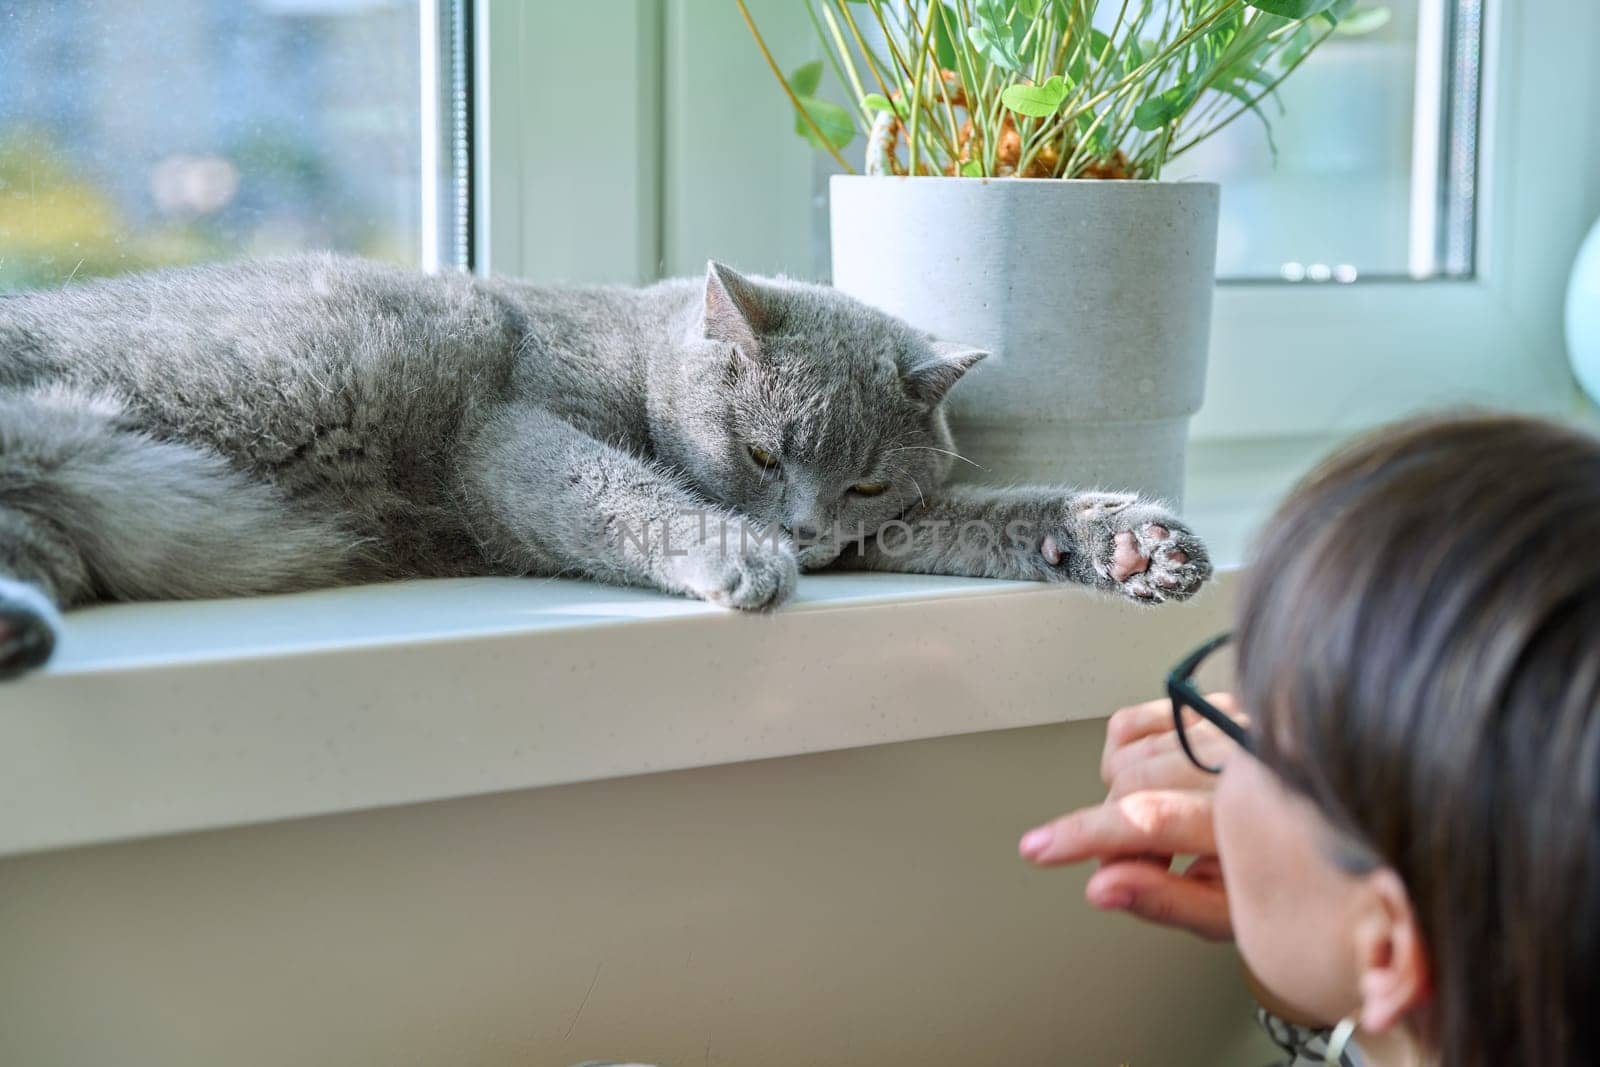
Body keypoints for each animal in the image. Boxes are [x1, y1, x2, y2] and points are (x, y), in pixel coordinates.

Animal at [0, 252, 1203, 675]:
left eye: (863, 480)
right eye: (762, 450)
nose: (805, 528)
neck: (633, 354)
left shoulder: (886, 531)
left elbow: (986, 514)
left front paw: (1129, 542)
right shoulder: (503, 436)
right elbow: (617, 487)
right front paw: (742, 555)